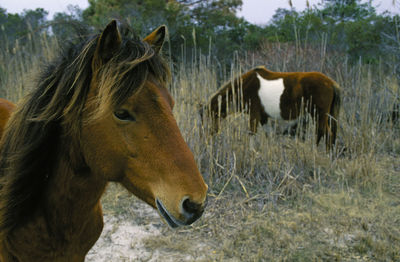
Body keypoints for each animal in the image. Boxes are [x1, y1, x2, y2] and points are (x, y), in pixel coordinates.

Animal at [202, 65, 342, 149]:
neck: (244, 86)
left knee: (323, 132)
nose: (208, 135)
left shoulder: (254, 114)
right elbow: (268, 134)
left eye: (211, 116)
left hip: (318, 114)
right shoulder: (263, 117)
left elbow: (252, 132)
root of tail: (331, 83)